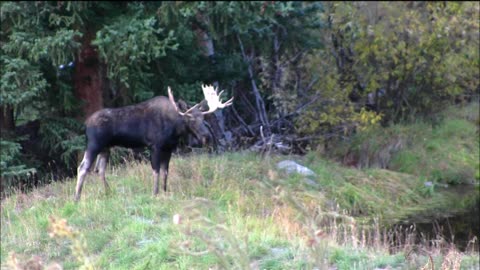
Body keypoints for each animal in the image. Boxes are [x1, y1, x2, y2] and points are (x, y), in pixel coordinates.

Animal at [74, 85, 233, 201]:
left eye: (203, 118)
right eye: (191, 119)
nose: (207, 137)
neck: (175, 128)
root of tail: (86, 124)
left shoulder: (168, 148)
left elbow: (165, 172)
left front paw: (164, 191)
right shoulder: (155, 146)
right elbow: (156, 171)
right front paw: (155, 193)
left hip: (105, 148)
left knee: (100, 170)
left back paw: (108, 193)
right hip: (94, 145)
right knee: (82, 168)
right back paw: (77, 198)